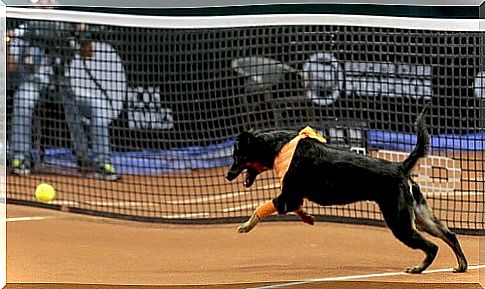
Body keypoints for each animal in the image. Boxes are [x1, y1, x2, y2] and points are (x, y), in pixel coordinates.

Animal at [225, 107, 466, 272]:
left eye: (237, 157)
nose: (227, 175)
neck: (280, 146)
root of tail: (400, 166)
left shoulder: (287, 196)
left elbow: (261, 209)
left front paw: (246, 225)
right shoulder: (292, 197)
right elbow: (296, 208)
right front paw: (307, 217)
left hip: (400, 222)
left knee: (432, 247)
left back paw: (419, 268)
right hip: (421, 216)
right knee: (450, 235)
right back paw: (461, 265)